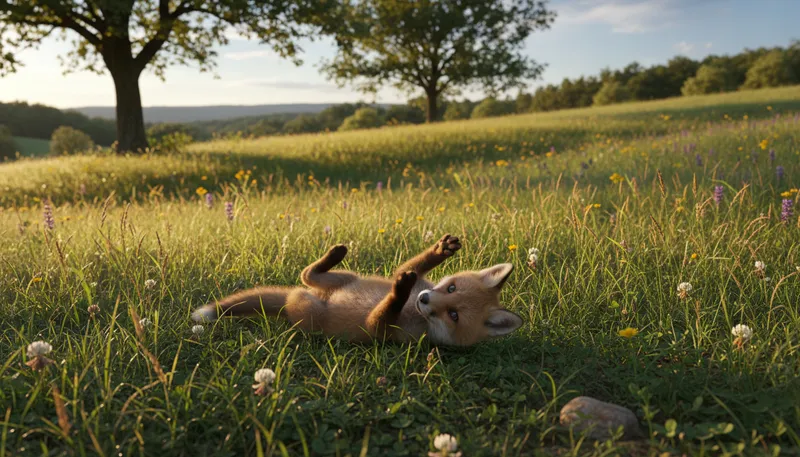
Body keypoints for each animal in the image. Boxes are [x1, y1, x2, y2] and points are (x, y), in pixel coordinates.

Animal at [191, 234, 523, 346]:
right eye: (451, 287)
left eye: (453, 315)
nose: (424, 299)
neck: (413, 312)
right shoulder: (413, 275)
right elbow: (412, 267)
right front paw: (441, 250)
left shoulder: (384, 332)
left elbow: (383, 312)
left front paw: (398, 292)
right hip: (345, 277)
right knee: (307, 273)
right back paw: (335, 253)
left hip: (309, 311)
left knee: (304, 280)